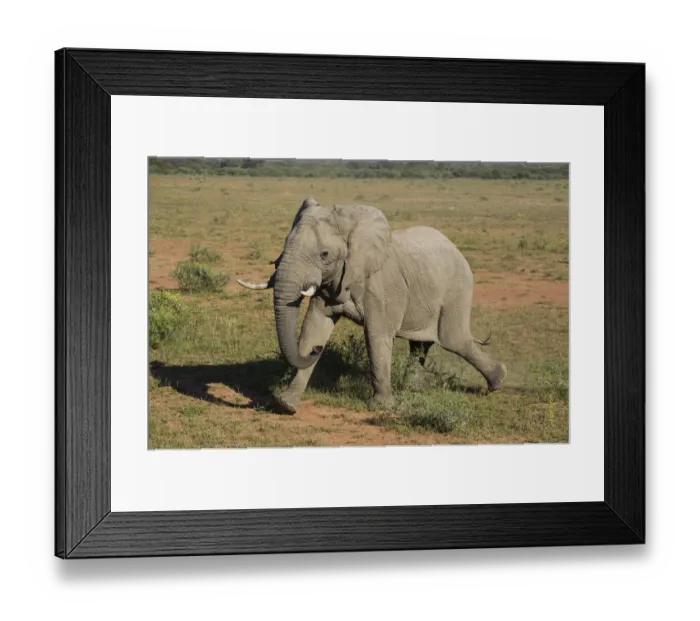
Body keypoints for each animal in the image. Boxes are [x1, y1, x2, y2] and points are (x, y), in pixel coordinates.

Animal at [237, 197, 506, 413]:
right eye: (285, 243)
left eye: (324, 255)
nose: (317, 351)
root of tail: (455, 247)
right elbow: (313, 328)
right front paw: (285, 404)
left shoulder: (381, 287)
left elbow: (376, 335)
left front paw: (380, 407)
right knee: (420, 345)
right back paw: (413, 389)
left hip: (457, 287)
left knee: (455, 340)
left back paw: (498, 381)